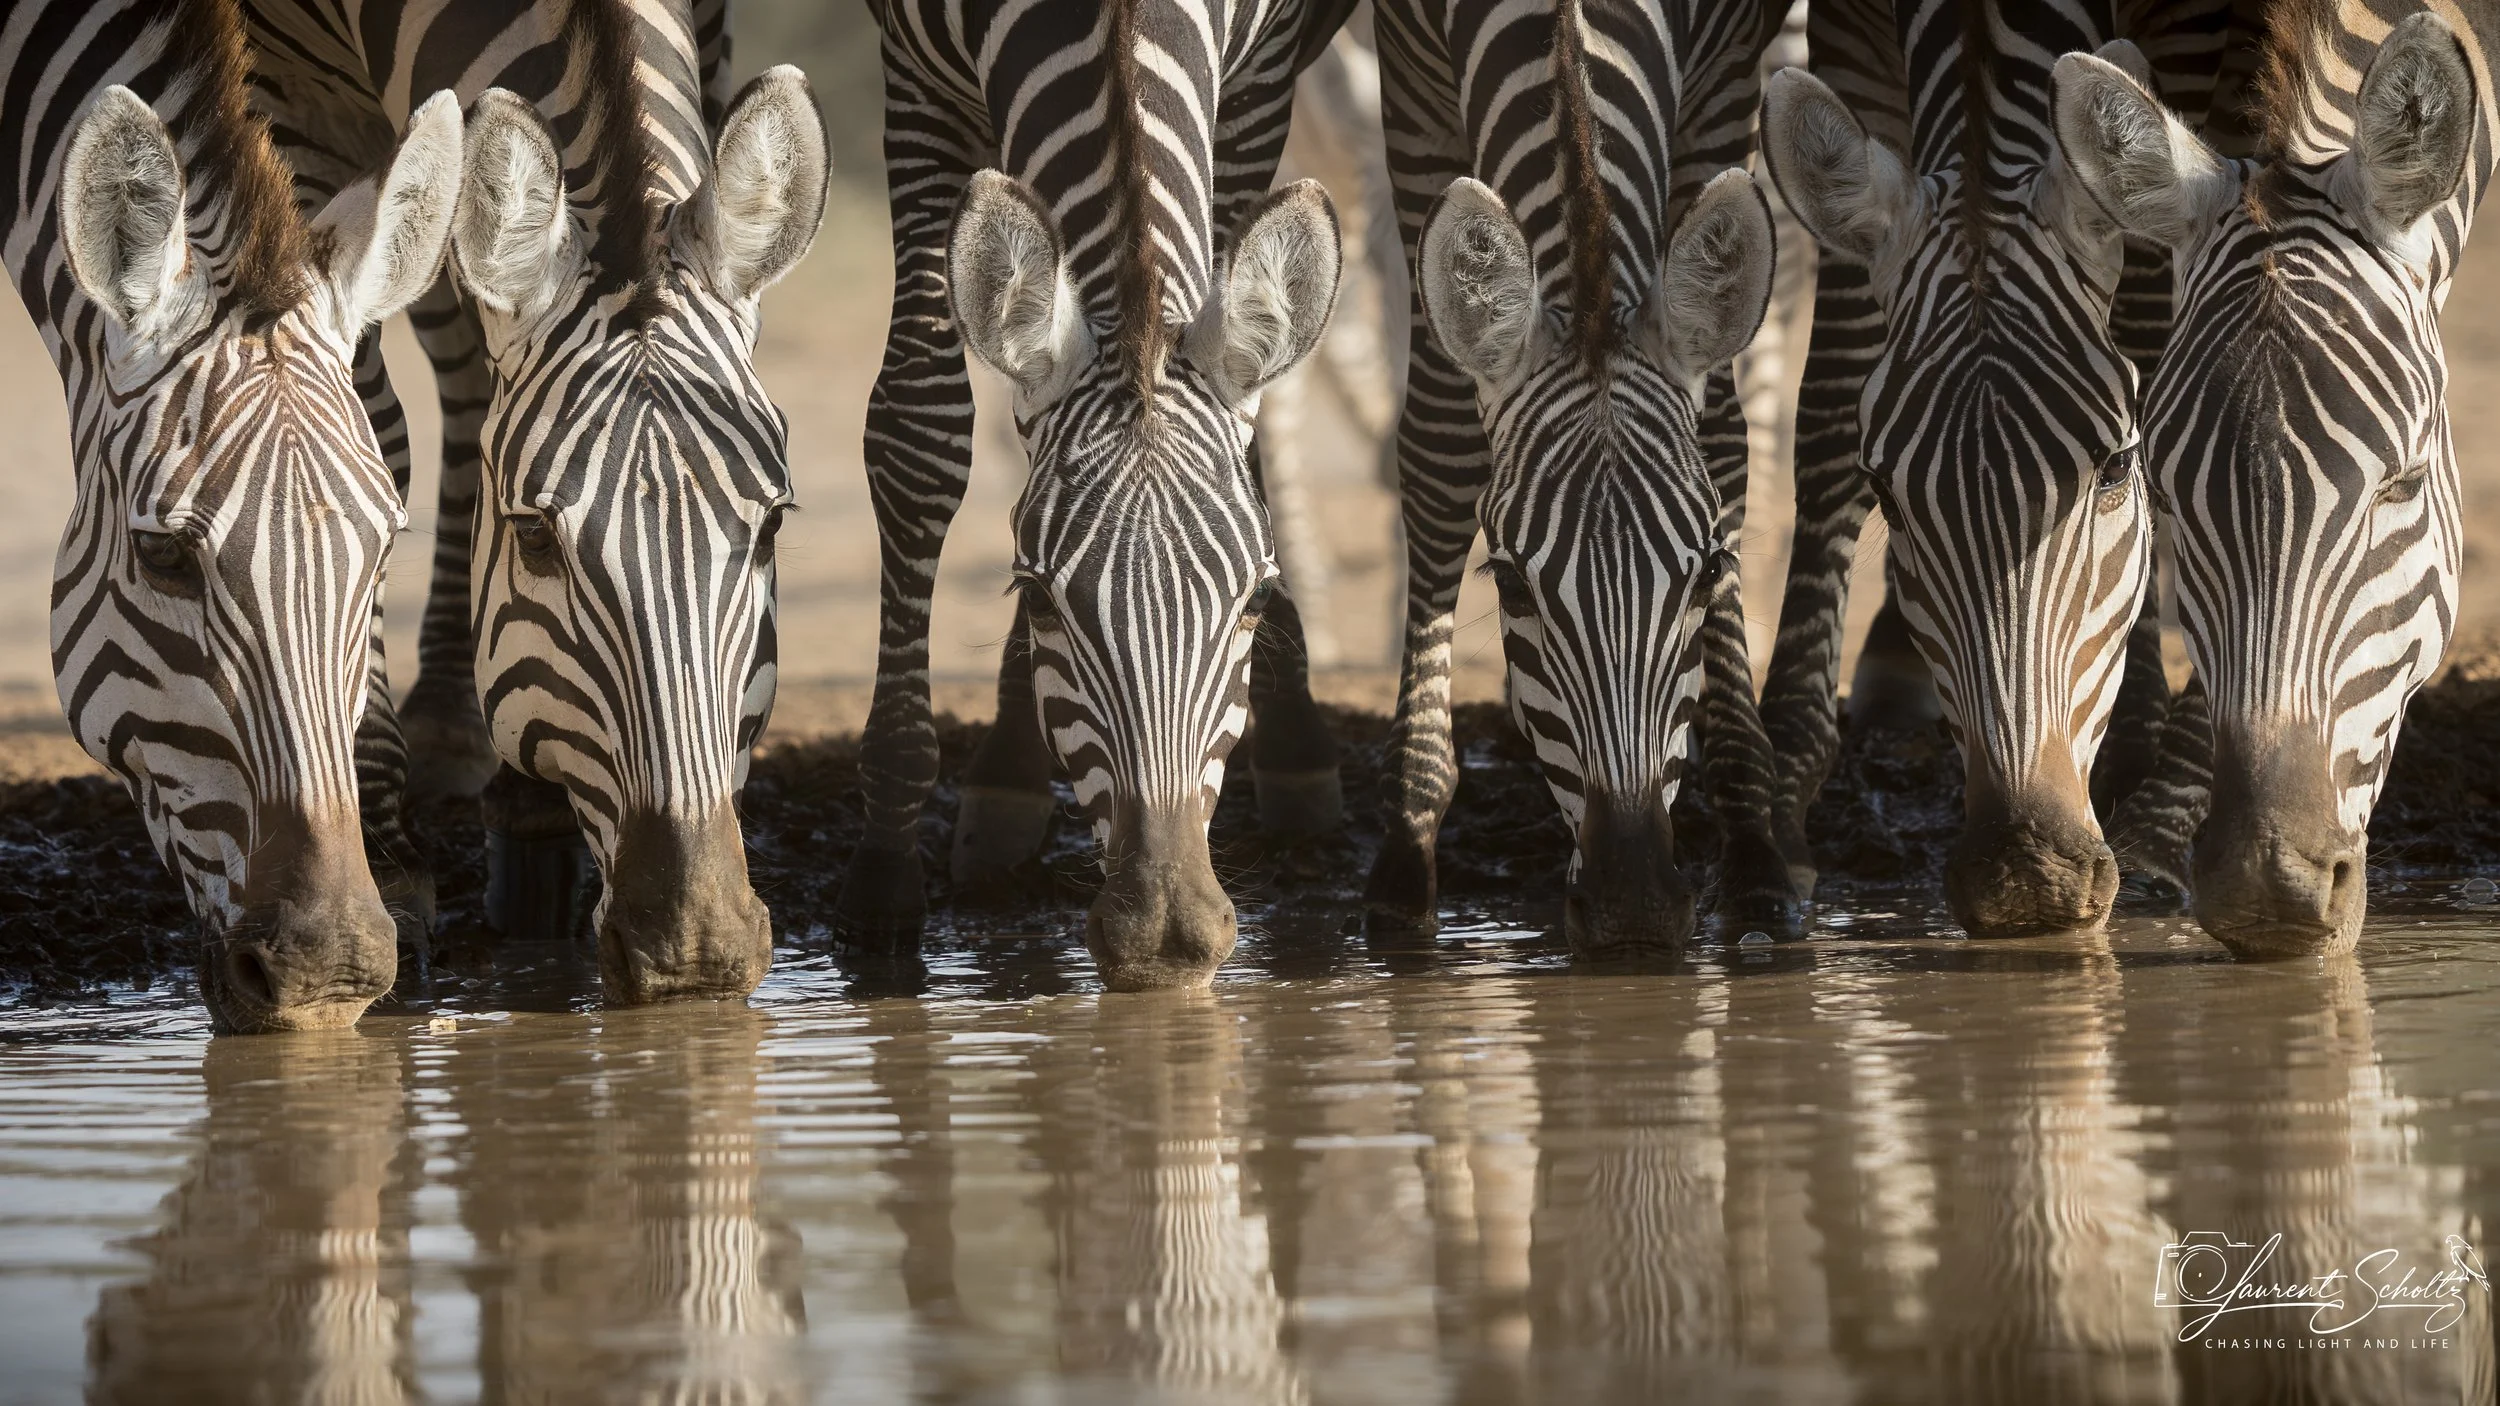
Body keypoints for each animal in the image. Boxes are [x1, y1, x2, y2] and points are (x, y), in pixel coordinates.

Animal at [240, 0, 830, 1002]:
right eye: (534, 539)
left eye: (771, 529)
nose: (697, 952)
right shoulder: (282, 101)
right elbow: (360, 415)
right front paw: (385, 842)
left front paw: (532, 806)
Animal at [851, 0, 1351, 988]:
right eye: (1039, 598)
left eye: (1257, 597)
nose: (1167, 938)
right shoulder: (913, 77)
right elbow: (916, 427)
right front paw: (886, 862)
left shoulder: (1261, 80)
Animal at [1364, 0, 1788, 956]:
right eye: (1511, 585)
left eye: (1711, 570)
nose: (1635, 912)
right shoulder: (1410, 84)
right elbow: (1440, 449)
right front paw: (1406, 855)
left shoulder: (1727, 78)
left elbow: (1724, 434)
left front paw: (1757, 849)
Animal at [1757, 0, 2190, 937]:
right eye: (1885, 494)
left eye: (2119, 465)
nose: (2029, 876)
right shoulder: (1848, 40)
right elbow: (1830, 396)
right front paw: (1772, 809)